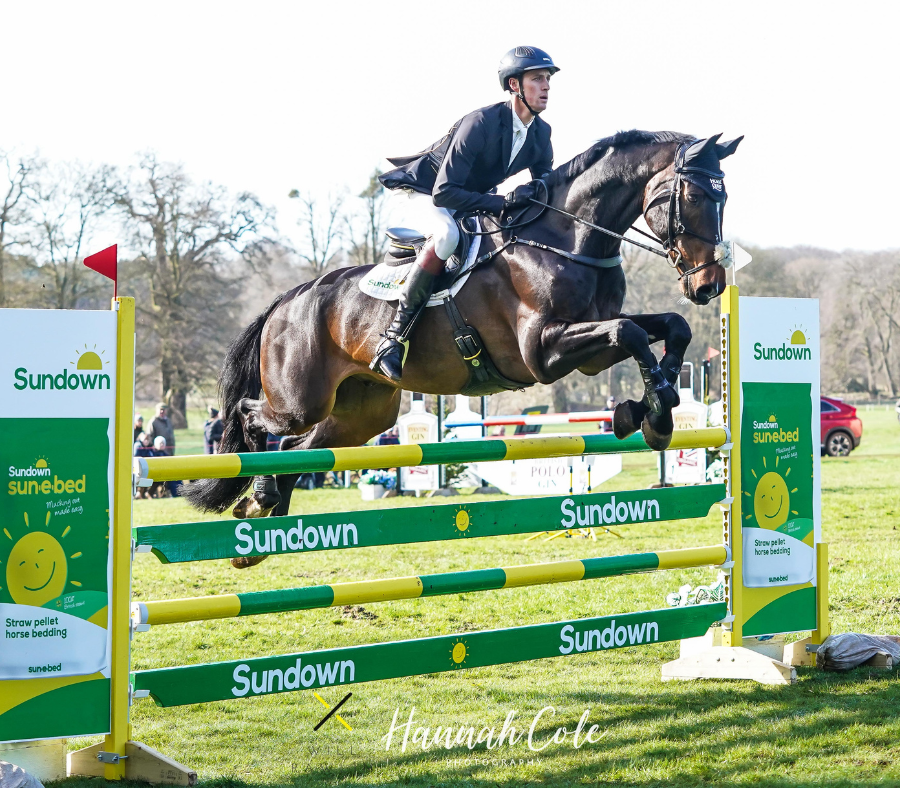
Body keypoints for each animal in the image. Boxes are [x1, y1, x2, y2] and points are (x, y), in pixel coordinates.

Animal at [186, 131, 740, 568]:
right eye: (693, 194)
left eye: (724, 197)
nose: (710, 286)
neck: (568, 240)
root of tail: (287, 300)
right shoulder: (544, 351)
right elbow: (630, 333)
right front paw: (655, 414)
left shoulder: (590, 354)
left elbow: (668, 328)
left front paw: (648, 409)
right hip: (300, 400)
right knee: (253, 417)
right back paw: (259, 496)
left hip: (363, 414)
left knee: (302, 448)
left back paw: (263, 513)